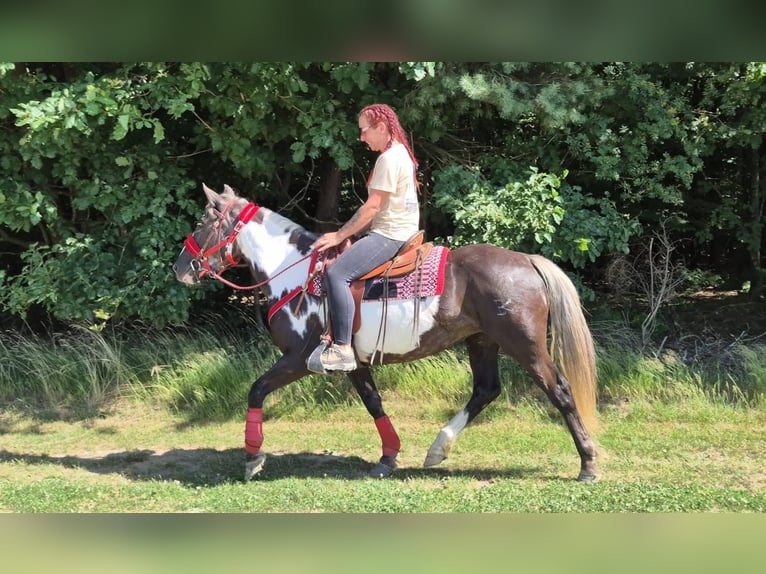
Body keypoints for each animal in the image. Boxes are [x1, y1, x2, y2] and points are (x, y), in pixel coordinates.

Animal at [173, 183, 600, 482]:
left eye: (201, 223)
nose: (180, 268)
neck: (293, 273)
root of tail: (527, 260)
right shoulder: (353, 362)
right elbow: (373, 402)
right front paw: (389, 456)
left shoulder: (298, 358)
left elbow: (257, 389)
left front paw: (252, 457)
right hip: (482, 342)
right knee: (485, 390)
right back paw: (438, 449)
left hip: (525, 345)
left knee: (559, 391)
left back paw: (588, 464)